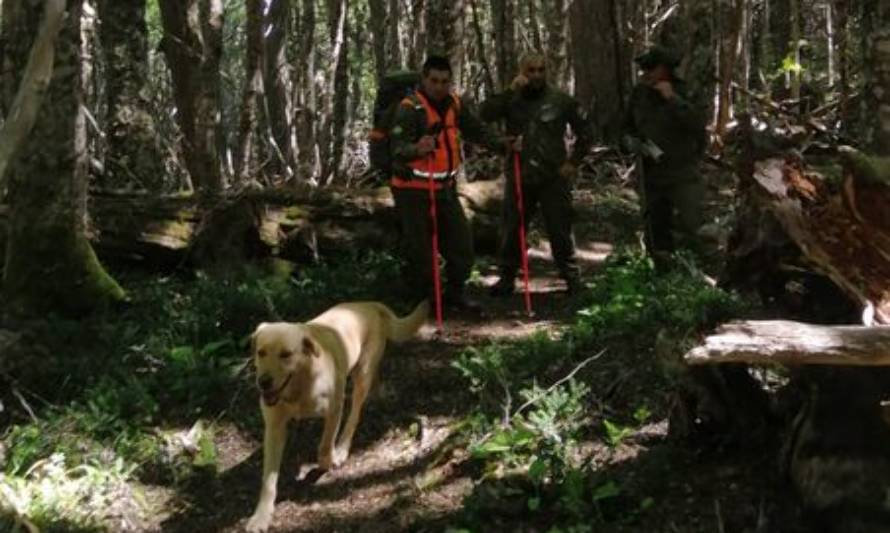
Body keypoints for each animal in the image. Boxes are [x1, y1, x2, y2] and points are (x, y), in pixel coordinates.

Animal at [241, 300, 424, 532]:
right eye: (261, 352)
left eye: (286, 354)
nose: (263, 382)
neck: (301, 385)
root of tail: (370, 304)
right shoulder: (274, 428)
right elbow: (269, 480)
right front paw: (261, 516)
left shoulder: (334, 409)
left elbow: (325, 444)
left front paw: (327, 462)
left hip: (361, 375)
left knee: (354, 415)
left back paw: (343, 448)